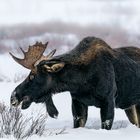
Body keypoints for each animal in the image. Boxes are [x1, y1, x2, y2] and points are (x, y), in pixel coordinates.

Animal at [10, 36, 140, 130]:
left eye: (32, 75)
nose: (13, 96)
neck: (81, 80)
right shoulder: (77, 101)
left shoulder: (108, 100)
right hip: (130, 106)